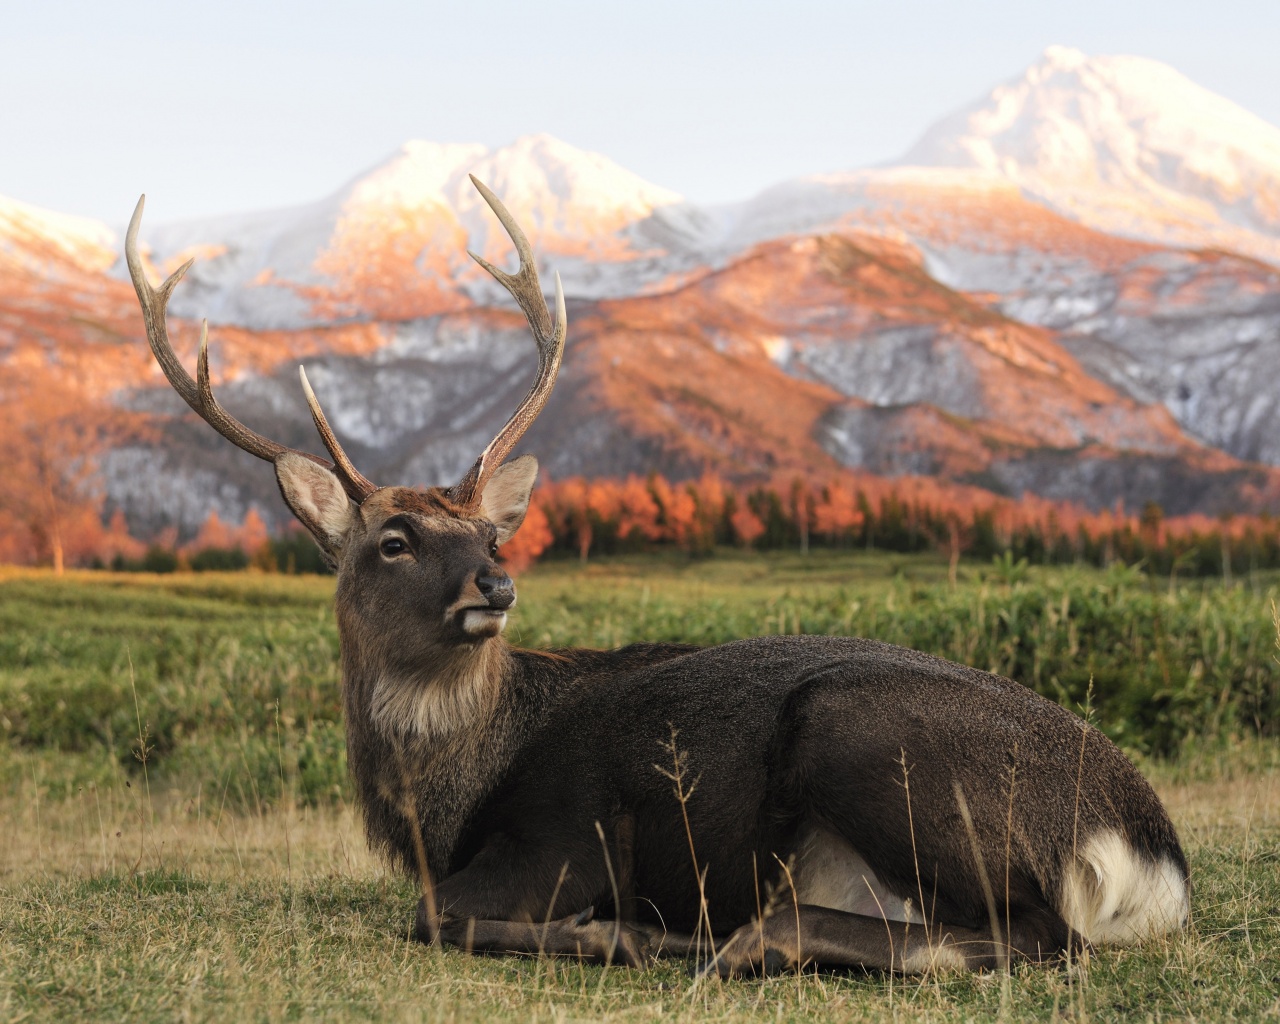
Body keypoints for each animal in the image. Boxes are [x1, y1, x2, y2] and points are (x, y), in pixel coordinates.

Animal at [124, 177, 1182, 977]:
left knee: (1037, 935)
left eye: (491, 536)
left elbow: (432, 915)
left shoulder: (564, 837)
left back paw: (714, 938)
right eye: (393, 540)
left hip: (866, 737)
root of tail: (1150, 853)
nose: (493, 589)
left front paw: (614, 930)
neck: (444, 802)